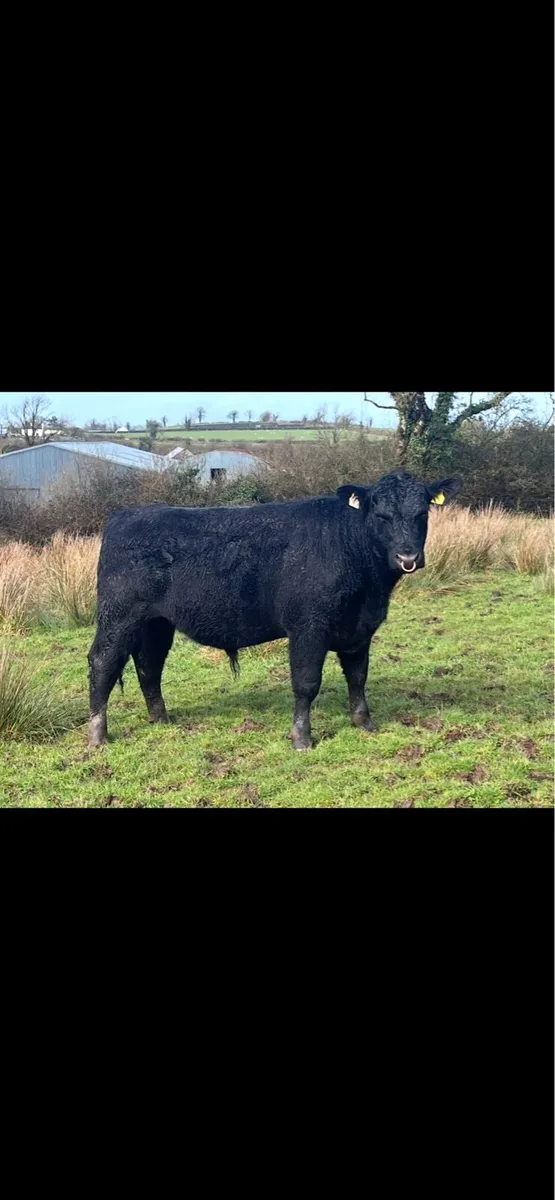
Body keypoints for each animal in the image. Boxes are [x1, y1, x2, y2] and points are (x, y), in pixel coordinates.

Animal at [88, 470, 462, 749]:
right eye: (381, 515)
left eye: (422, 513)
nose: (407, 557)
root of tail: (126, 514)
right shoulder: (308, 626)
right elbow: (307, 682)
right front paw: (302, 739)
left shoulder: (360, 628)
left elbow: (358, 676)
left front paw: (364, 723)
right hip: (118, 616)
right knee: (103, 663)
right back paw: (98, 735)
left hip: (156, 622)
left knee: (149, 666)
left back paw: (161, 720)